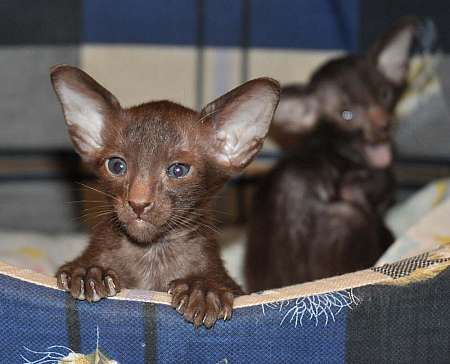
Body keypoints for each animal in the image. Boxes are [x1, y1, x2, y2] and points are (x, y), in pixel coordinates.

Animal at [51, 64, 280, 328]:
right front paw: (90, 272)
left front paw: (202, 290)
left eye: (178, 170)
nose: (138, 203)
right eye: (117, 166)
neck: (151, 253)